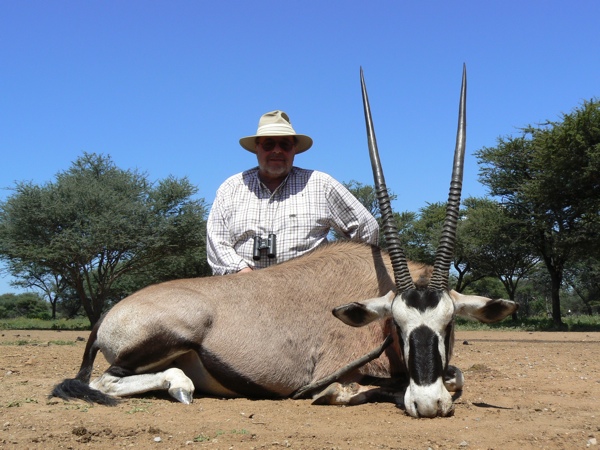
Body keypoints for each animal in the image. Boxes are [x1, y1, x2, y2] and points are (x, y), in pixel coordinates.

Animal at [50, 66, 517, 418]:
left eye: (449, 323)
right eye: (397, 325)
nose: (428, 403)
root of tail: (109, 315)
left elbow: (457, 376)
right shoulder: (340, 370)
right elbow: (357, 388)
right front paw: (340, 394)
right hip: (165, 340)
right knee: (107, 380)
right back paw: (179, 387)